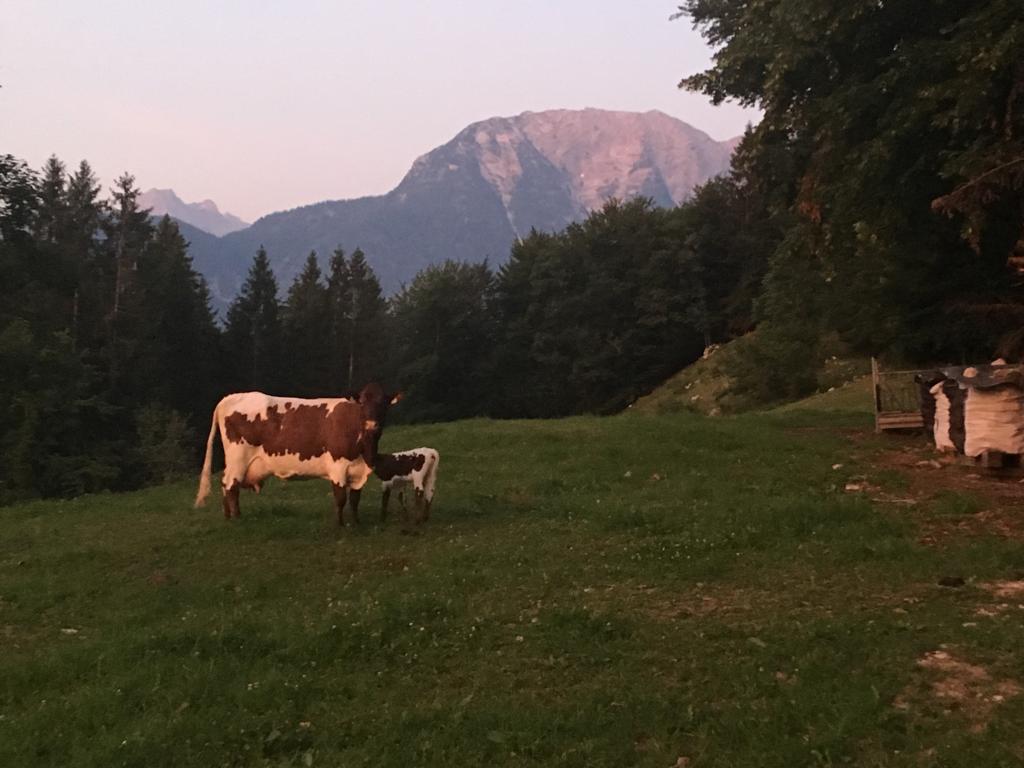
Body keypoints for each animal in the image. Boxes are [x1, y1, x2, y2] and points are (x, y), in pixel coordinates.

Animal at [193, 382, 401, 524]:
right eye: (362, 403)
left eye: (383, 403)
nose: (372, 425)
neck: (365, 449)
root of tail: (229, 397)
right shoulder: (338, 466)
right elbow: (341, 498)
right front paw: (340, 525)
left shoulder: (358, 470)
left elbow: (355, 499)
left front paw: (356, 523)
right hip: (238, 458)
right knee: (231, 485)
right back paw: (237, 519)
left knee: (225, 484)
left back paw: (228, 517)